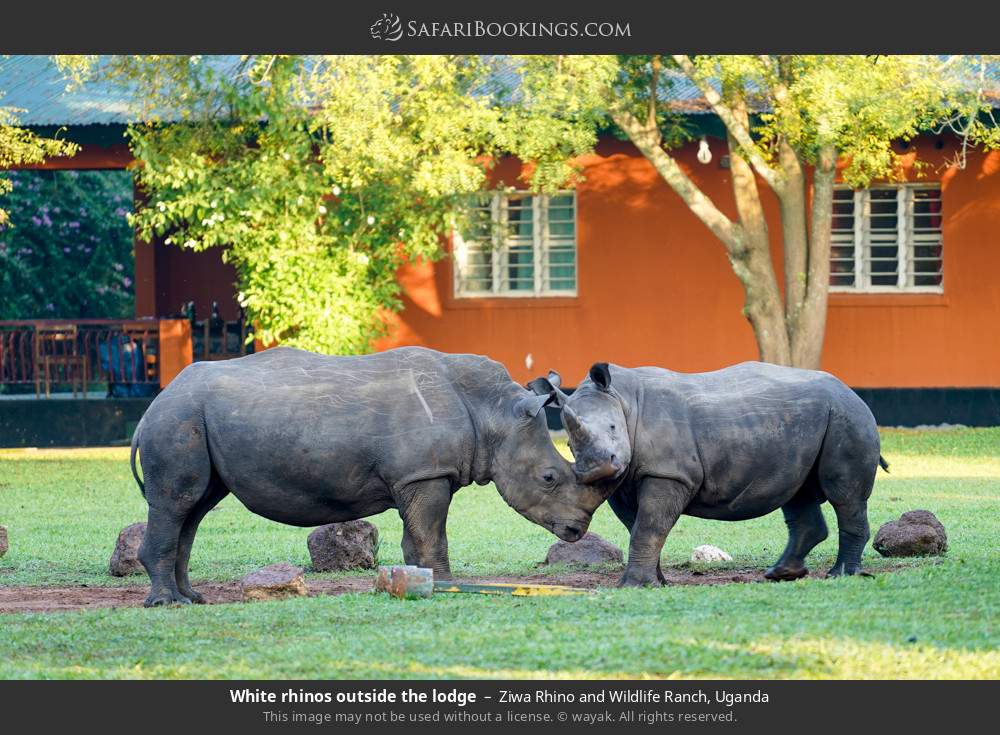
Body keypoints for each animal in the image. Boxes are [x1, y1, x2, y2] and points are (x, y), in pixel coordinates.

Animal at [129, 348, 604, 608]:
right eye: (548, 478)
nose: (576, 530)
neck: (494, 413)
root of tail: (154, 402)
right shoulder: (423, 475)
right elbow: (433, 535)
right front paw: (445, 585)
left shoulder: (418, 477)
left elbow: (417, 537)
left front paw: (419, 581)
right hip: (178, 418)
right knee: (177, 503)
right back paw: (167, 603)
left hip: (190, 416)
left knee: (195, 508)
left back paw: (192, 598)